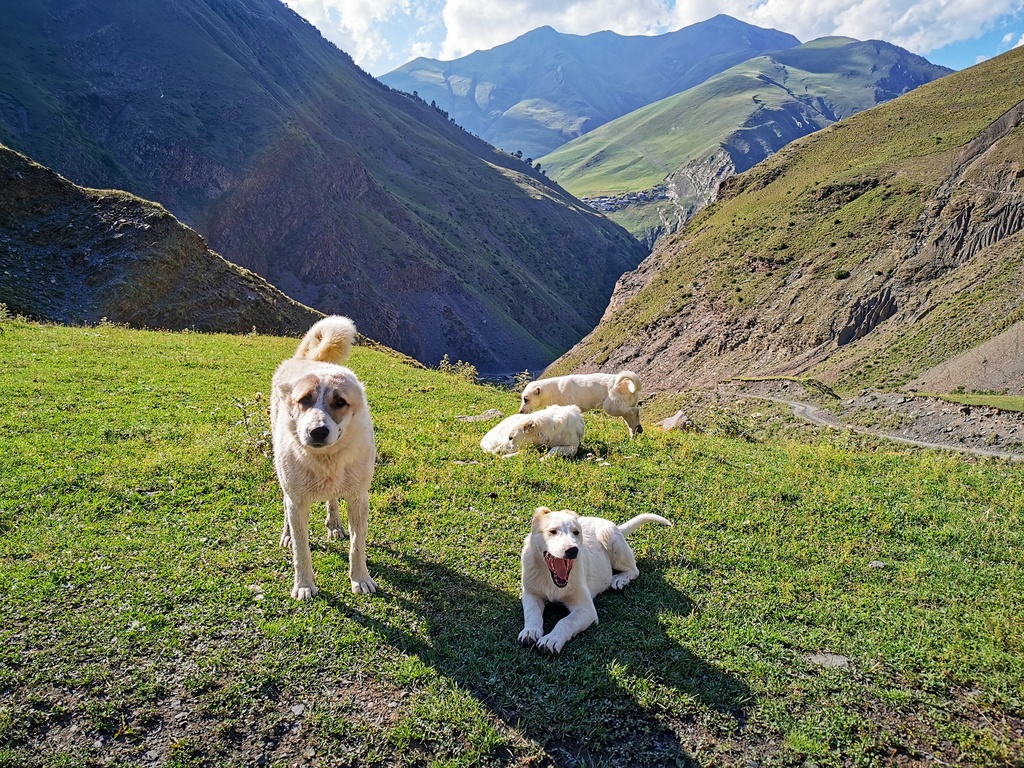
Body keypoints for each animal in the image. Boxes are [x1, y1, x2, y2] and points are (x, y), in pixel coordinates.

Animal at [270, 313, 378, 602]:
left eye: (340, 402)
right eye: (304, 400)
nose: (317, 431)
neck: (326, 460)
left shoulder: (358, 498)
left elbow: (357, 545)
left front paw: (360, 579)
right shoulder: (297, 502)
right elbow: (301, 550)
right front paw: (304, 585)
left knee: (332, 498)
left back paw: (334, 523)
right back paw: (287, 534)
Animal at [520, 505, 671, 655]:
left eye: (576, 533)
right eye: (552, 531)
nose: (573, 550)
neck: (550, 579)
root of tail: (616, 526)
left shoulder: (586, 609)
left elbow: (565, 622)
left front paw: (551, 639)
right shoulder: (531, 594)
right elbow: (532, 612)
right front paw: (530, 631)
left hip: (608, 535)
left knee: (634, 569)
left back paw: (619, 580)